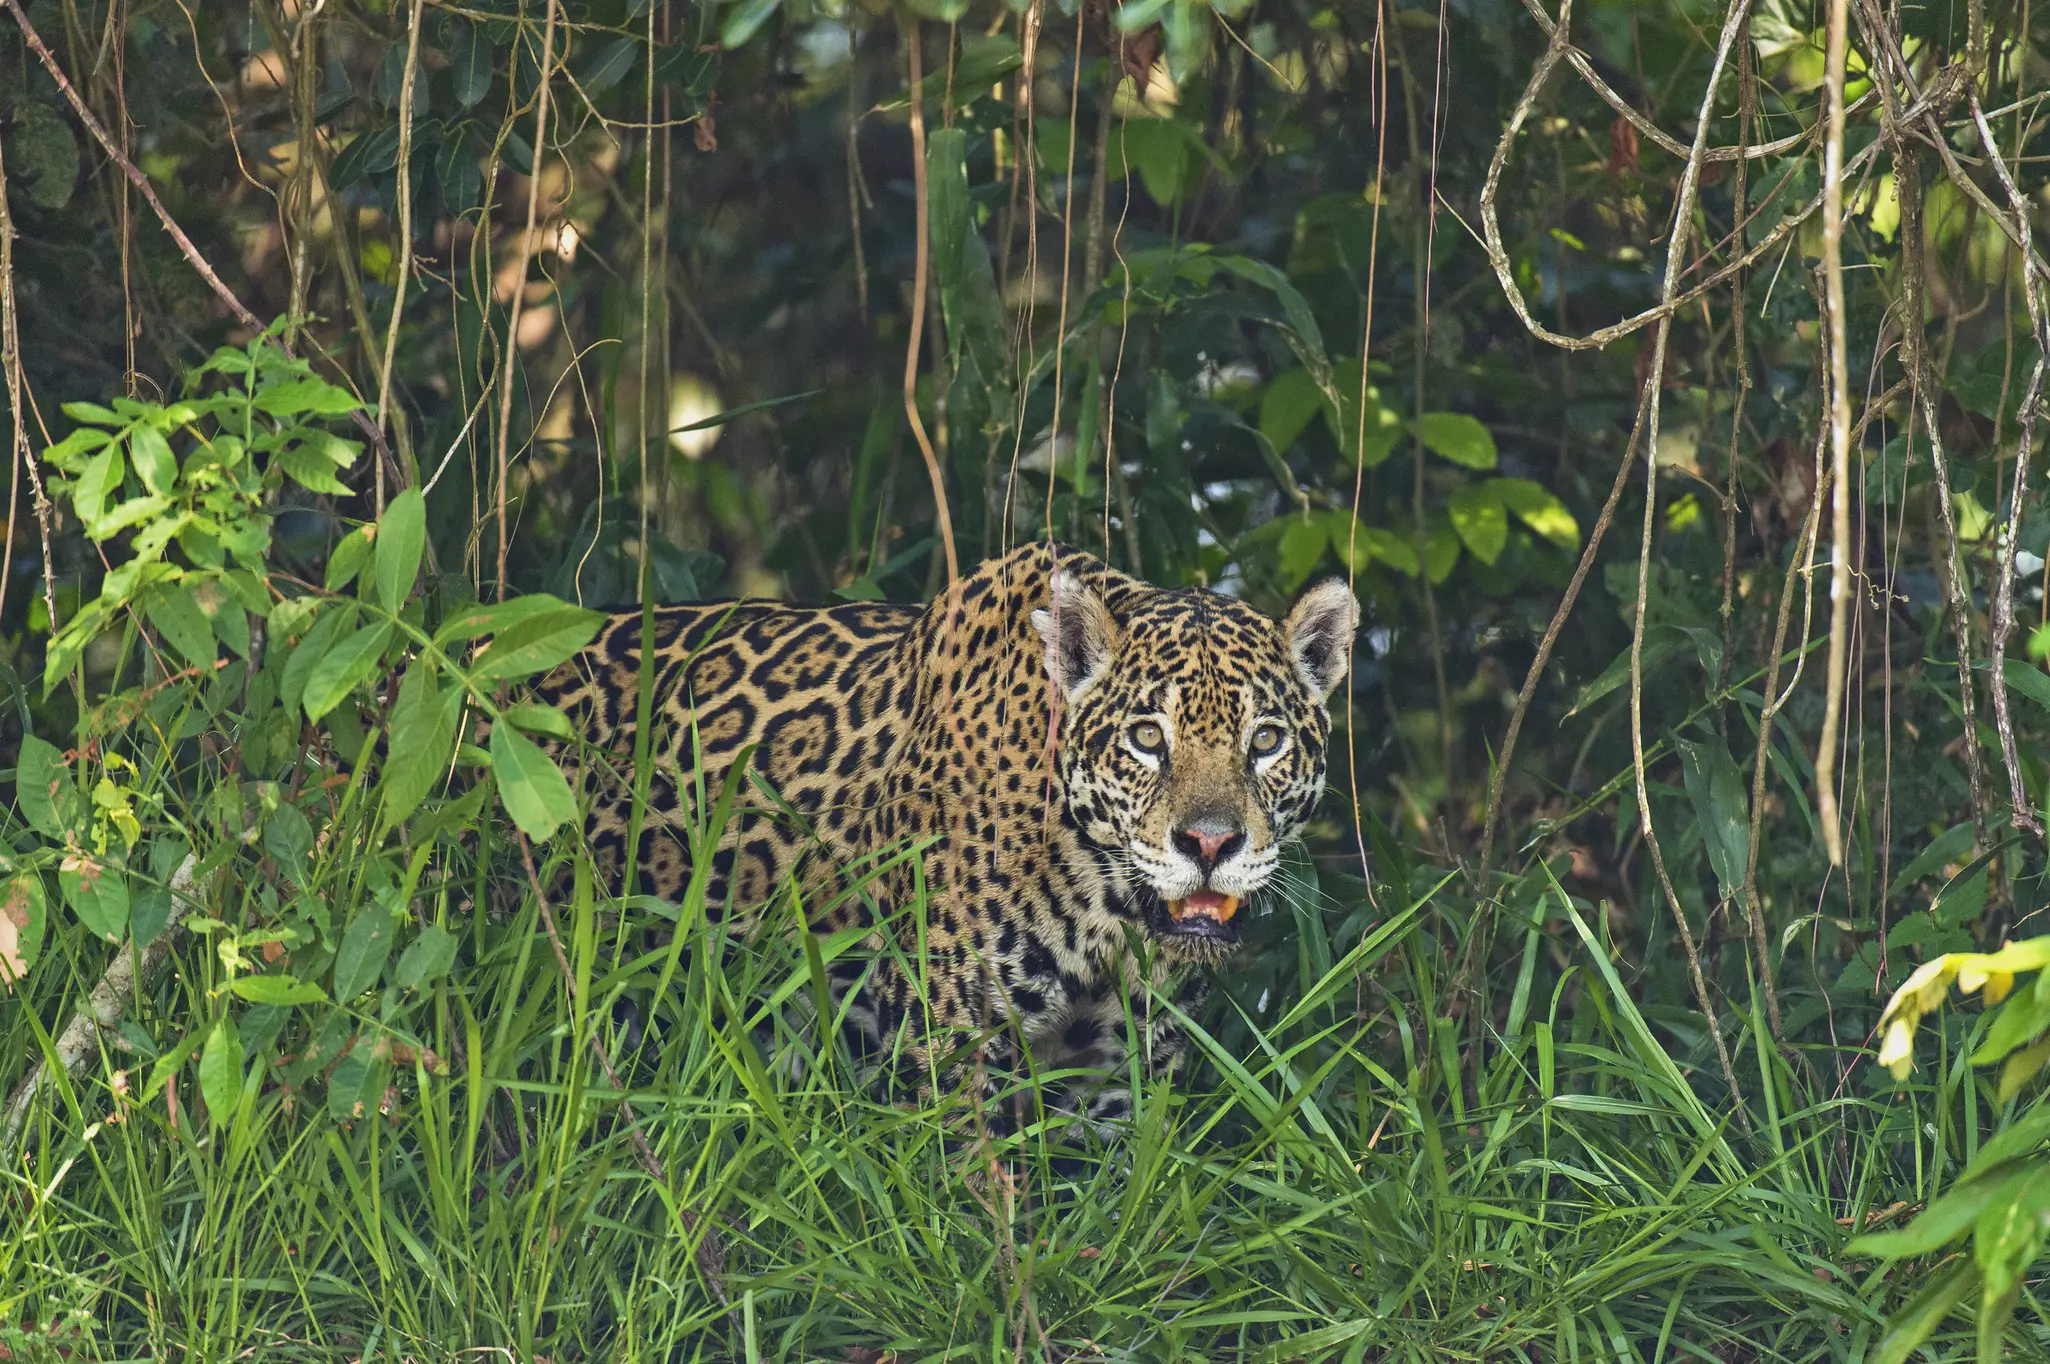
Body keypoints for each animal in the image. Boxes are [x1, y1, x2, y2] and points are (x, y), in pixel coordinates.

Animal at [524, 540, 1360, 1129]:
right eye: (1148, 738)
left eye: (1266, 741)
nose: (1210, 845)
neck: (1104, 902)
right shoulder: (948, 1036)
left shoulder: (1119, 1066)